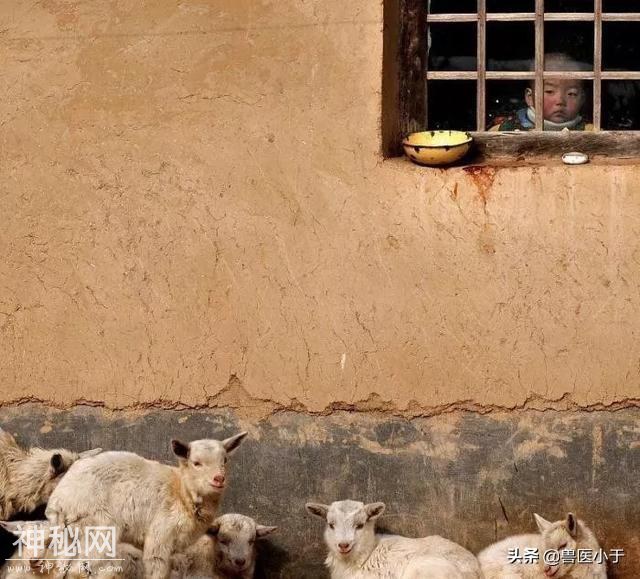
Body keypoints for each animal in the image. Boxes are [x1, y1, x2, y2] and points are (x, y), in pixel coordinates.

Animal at [44, 432, 248, 579]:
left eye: (225, 460)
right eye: (196, 463)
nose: (219, 479)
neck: (183, 492)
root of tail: (59, 500)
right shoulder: (160, 537)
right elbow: (156, 571)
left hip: (68, 534)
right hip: (97, 527)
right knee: (78, 570)